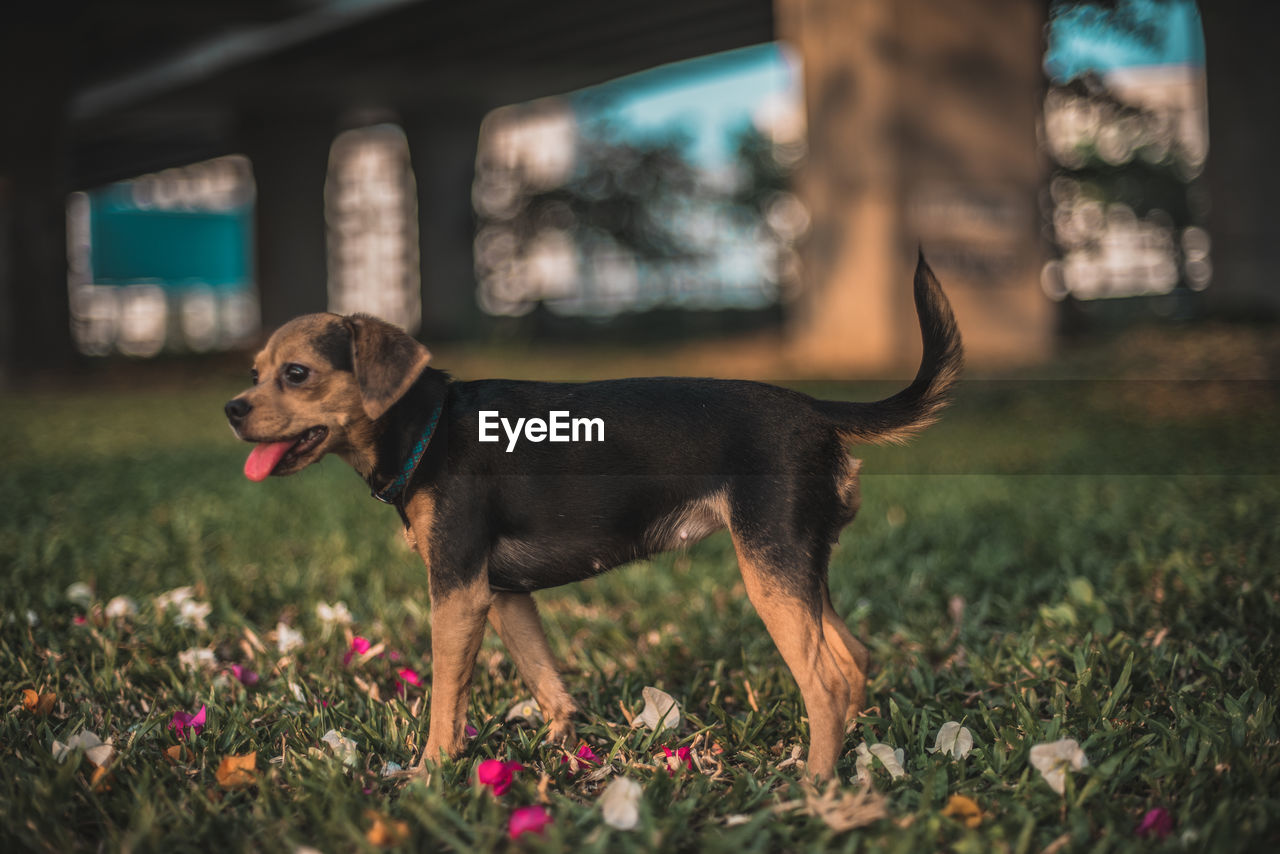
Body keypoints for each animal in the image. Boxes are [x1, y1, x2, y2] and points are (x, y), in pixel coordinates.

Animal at [222, 250, 962, 778]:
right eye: (253, 372)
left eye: (295, 374)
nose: (231, 408)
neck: (425, 425)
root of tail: (815, 409)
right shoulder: (502, 593)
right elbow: (547, 680)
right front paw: (558, 750)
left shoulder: (457, 591)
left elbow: (445, 698)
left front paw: (431, 772)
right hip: (799, 567)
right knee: (854, 657)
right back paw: (852, 761)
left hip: (771, 570)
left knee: (826, 680)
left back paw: (813, 784)